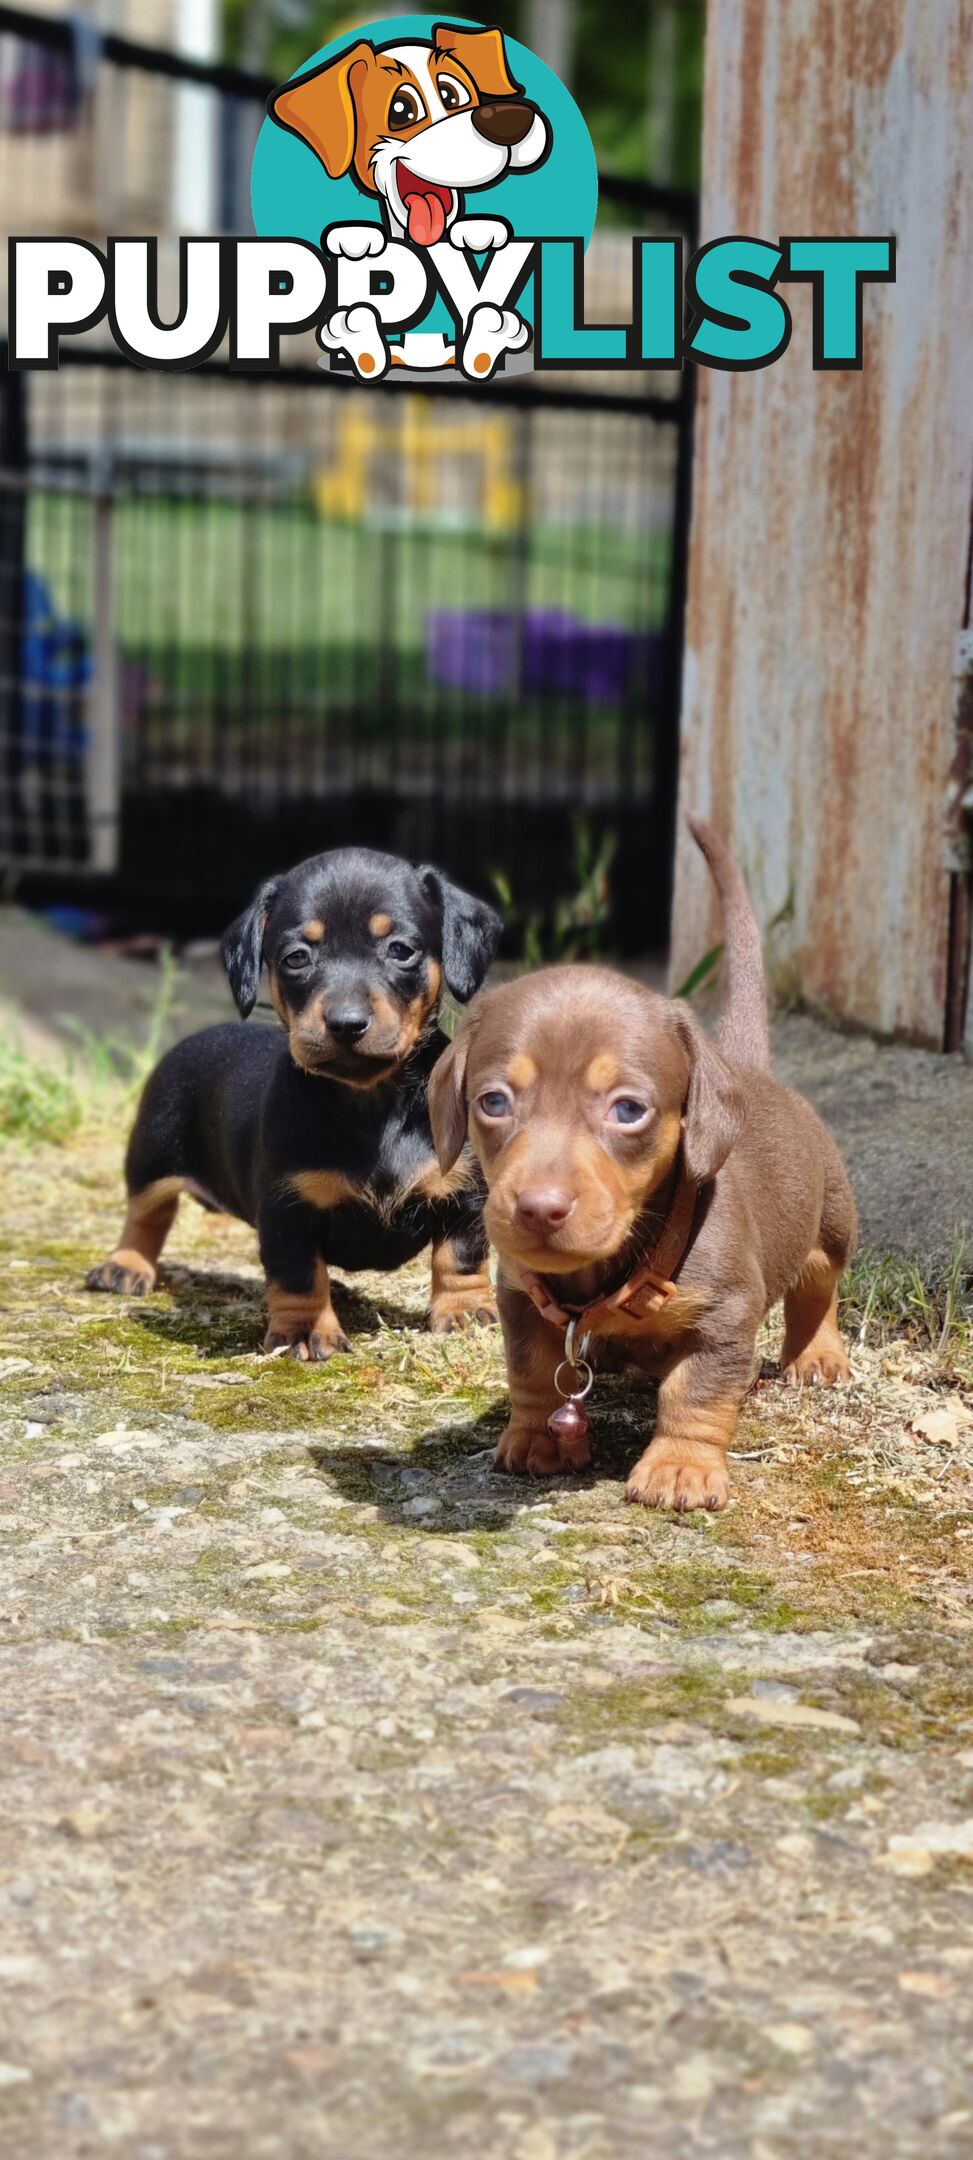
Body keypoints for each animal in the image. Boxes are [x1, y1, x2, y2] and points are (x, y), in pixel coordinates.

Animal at [85, 851, 501, 1356]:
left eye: (401, 950)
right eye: (296, 957)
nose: (346, 1023)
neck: (370, 1103)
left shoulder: (465, 1196)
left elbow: (460, 1257)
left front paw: (464, 1312)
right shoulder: (288, 1209)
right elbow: (299, 1274)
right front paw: (305, 1330)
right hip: (153, 1154)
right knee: (146, 1213)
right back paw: (125, 1265)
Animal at [430, 816, 856, 1512]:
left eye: (628, 1109)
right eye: (493, 1102)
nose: (538, 1209)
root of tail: (752, 1072)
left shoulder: (725, 1316)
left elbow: (697, 1394)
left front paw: (680, 1467)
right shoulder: (519, 1298)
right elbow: (531, 1371)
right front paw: (534, 1438)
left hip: (834, 1223)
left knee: (819, 1286)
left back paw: (817, 1354)